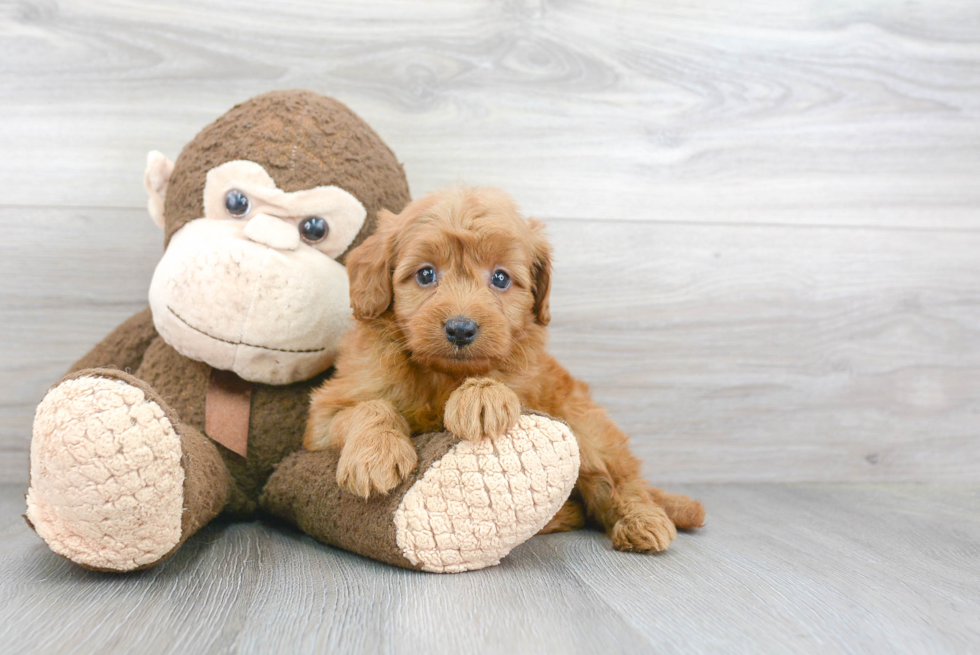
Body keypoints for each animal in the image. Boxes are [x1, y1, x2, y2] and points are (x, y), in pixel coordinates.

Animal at [306, 186, 704, 552]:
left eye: (500, 278)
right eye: (425, 274)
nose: (460, 329)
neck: (442, 375)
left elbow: (502, 382)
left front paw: (482, 397)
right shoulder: (323, 418)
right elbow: (368, 407)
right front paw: (375, 456)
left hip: (587, 427)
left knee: (619, 481)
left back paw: (643, 520)